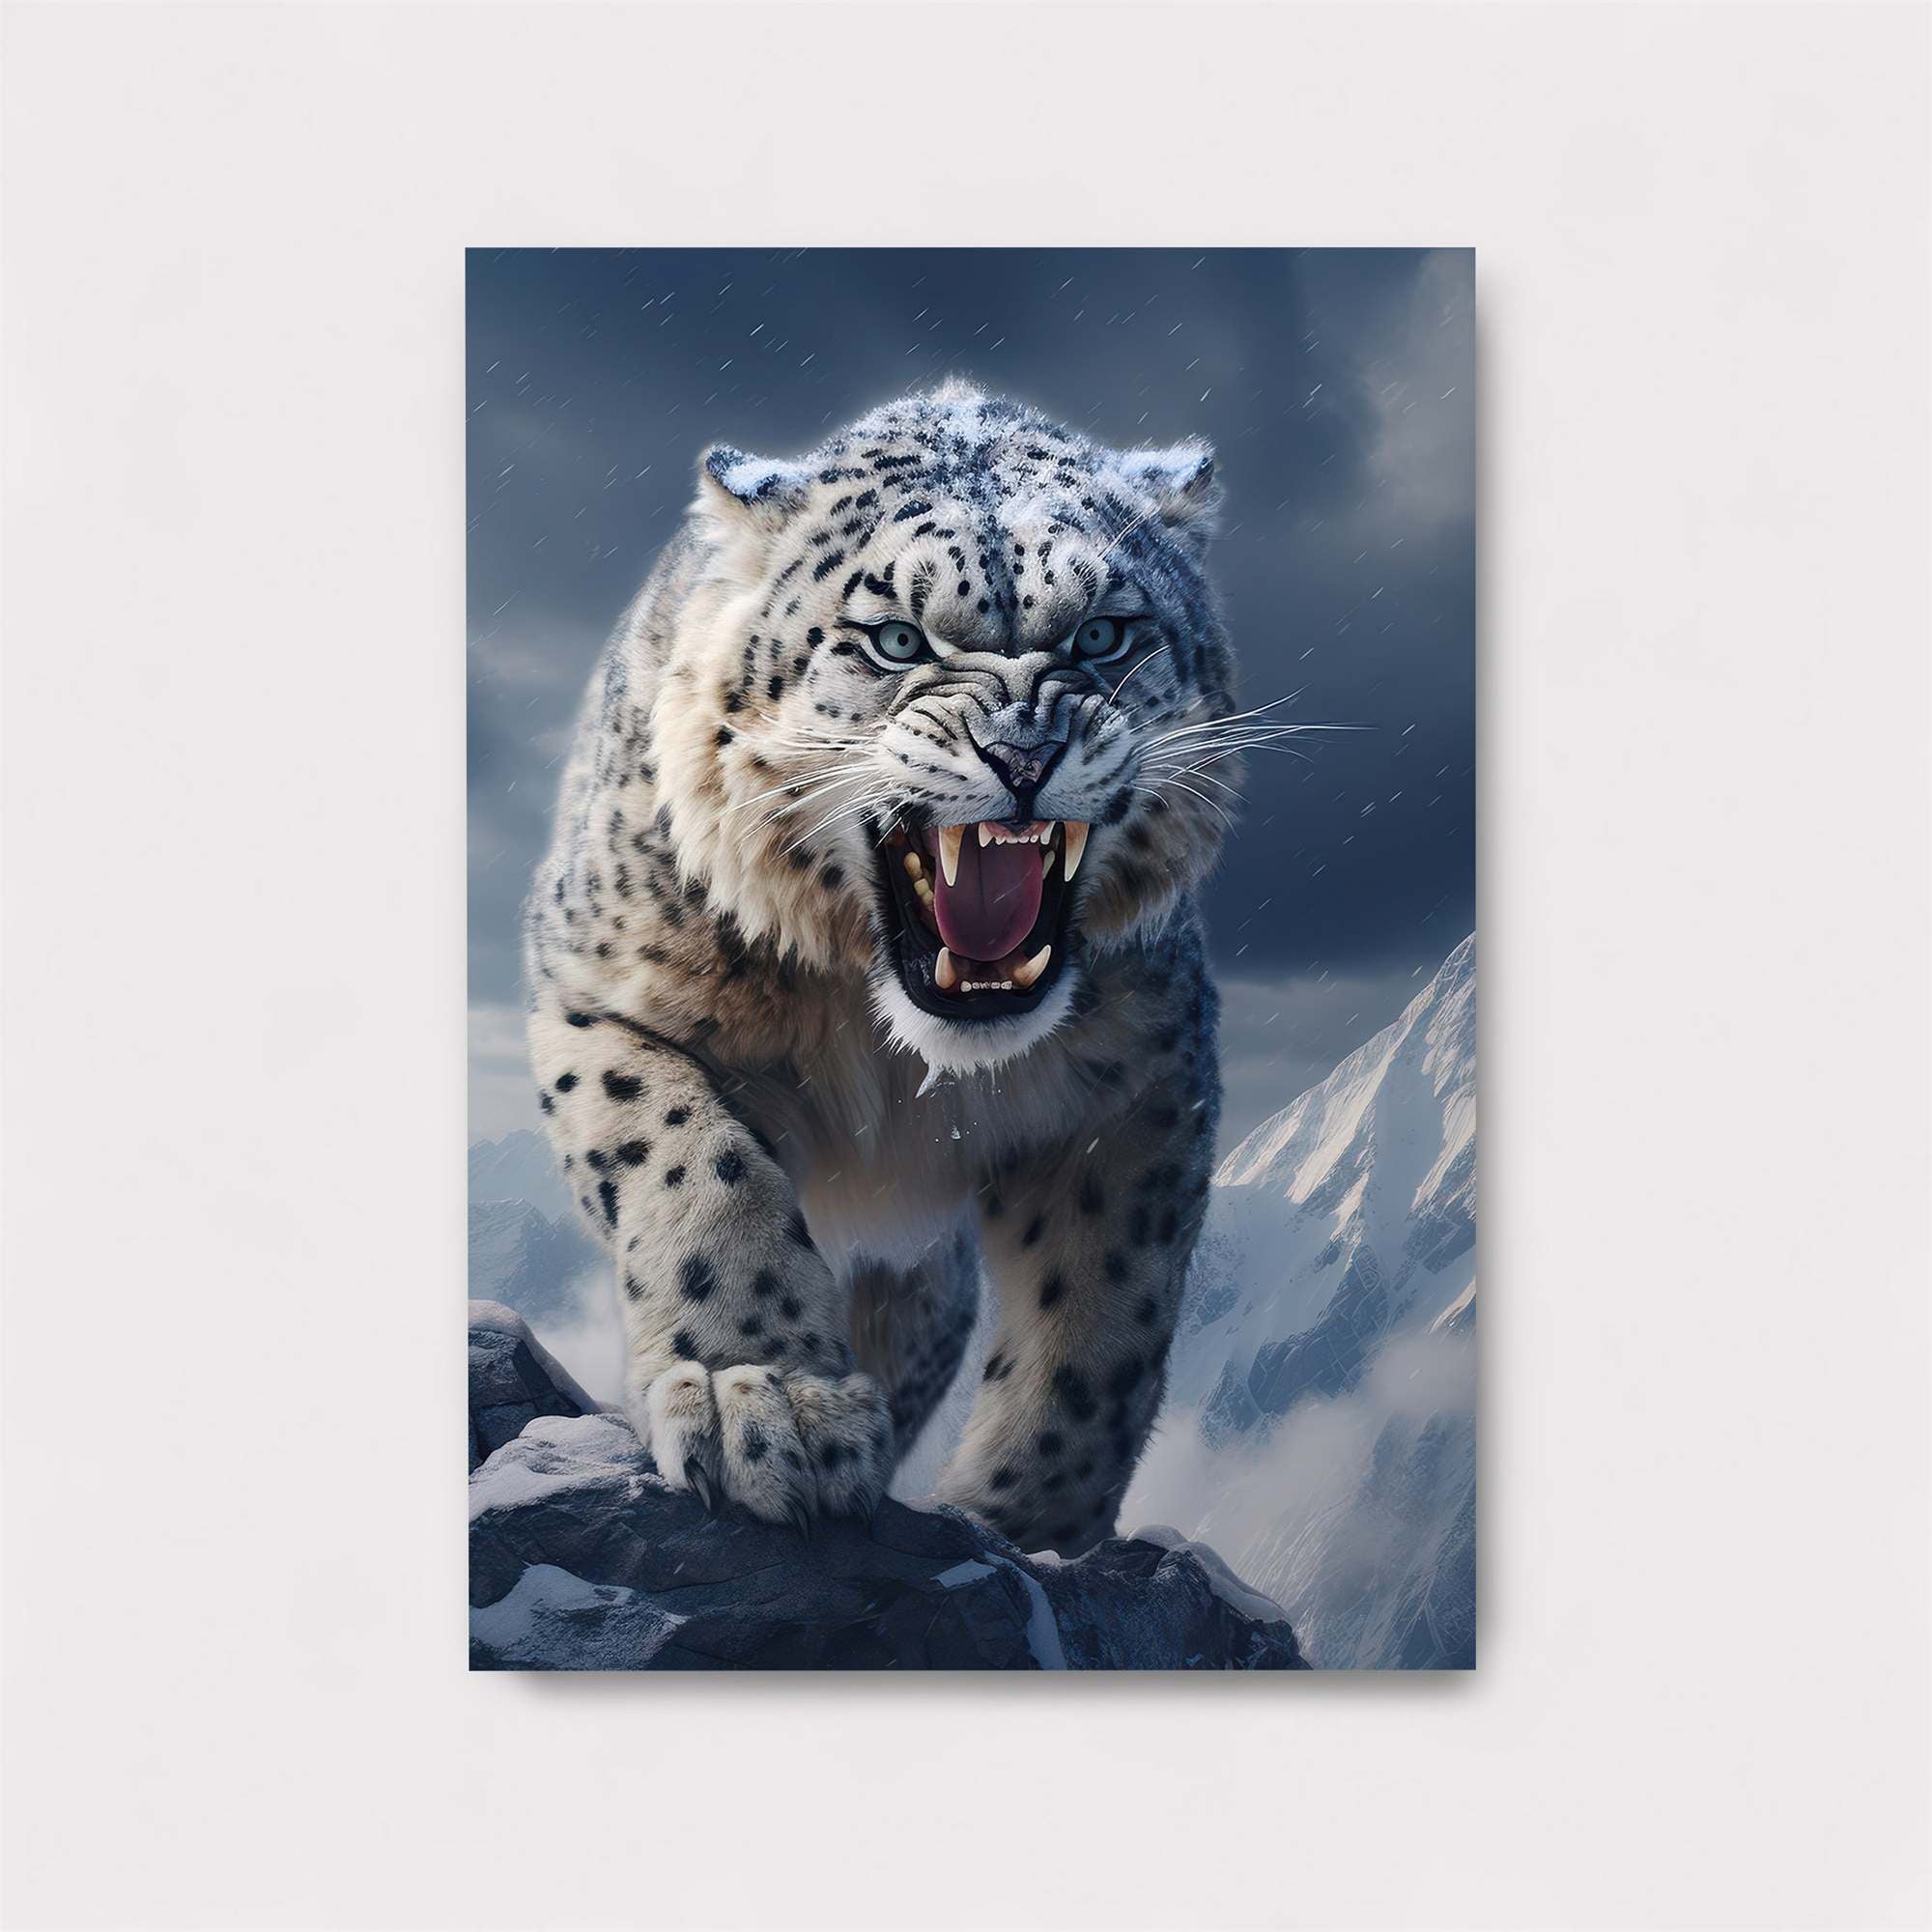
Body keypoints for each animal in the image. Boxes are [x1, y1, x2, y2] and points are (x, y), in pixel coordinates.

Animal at [523, 379, 1237, 1556]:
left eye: (1103, 632)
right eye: (896, 638)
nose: (1023, 752)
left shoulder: (1149, 1075)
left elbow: (1104, 1319)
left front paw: (1024, 1517)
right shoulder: (594, 1001)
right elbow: (691, 1159)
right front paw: (761, 1395)